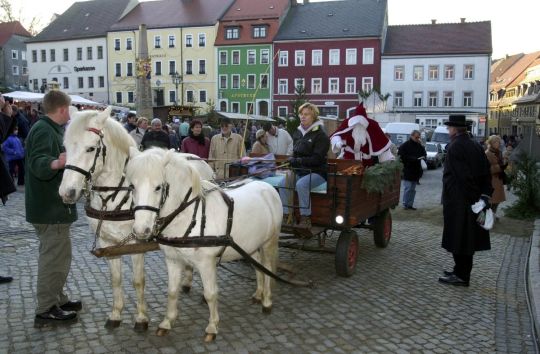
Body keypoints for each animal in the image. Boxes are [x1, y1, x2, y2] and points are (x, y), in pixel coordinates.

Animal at [57, 106, 213, 330]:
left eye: (90, 148)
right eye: (66, 147)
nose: (67, 192)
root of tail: (197, 159)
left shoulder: (135, 242)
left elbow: (138, 280)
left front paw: (141, 318)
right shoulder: (108, 242)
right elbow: (115, 279)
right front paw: (115, 314)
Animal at [126, 148, 282, 342]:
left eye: (158, 187)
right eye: (132, 187)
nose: (141, 230)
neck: (189, 215)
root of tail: (267, 188)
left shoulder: (206, 263)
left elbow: (210, 293)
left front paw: (212, 327)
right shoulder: (173, 260)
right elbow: (172, 291)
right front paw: (167, 322)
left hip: (269, 242)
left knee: (267, 267)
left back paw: (267, 301)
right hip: (249, 245)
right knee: (258, 266)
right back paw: (258, 294)